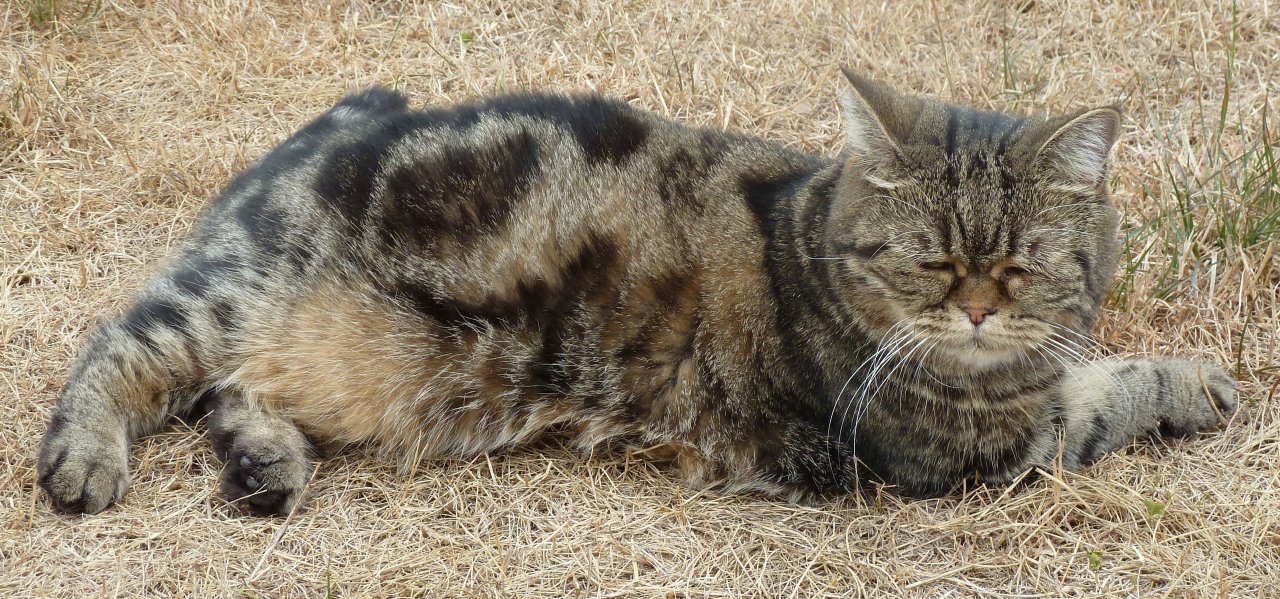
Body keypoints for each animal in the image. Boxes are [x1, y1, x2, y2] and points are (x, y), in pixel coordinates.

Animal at [40, 70, 1233, 517]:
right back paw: (86, 458)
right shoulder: (964, 452)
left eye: (1019, 262)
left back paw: (266, 464)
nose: (980, 309)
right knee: (121, 348)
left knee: (235, 396)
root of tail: (305, 141)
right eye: (933, 260)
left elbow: (1092, 368)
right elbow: (1106, 391)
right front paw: (1191, 380)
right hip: (226, 300)